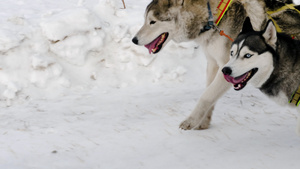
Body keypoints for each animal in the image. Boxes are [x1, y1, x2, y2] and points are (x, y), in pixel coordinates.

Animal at [132, 0, 300, 129]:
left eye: (152, 22)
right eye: (145, 20)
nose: (134, 40)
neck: (214, 17)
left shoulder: (226, 69)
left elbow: (206, 96)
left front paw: (191, 120)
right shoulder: (213, 64)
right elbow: (209, 93)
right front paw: (203, 123)